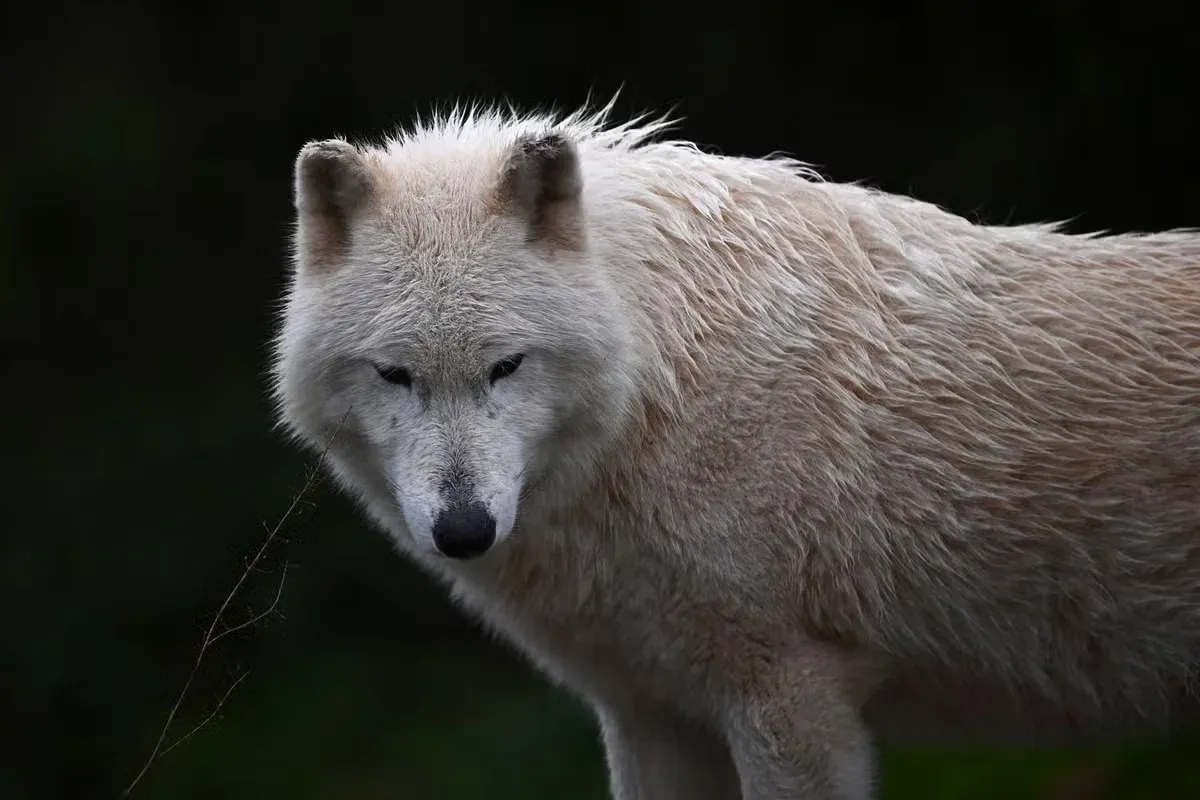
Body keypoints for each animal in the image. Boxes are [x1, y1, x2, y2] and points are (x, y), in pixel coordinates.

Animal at [271, 99, 1200, 799]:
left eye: (507, 366)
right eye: (396, 375)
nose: (464, 530)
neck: (664, 385)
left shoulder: (791, 696)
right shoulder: (652, 714)